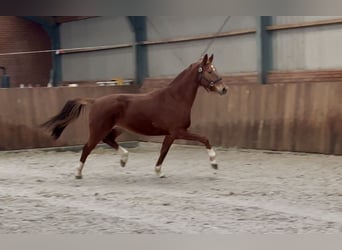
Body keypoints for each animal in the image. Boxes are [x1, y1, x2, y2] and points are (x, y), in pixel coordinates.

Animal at [41, 53, 227, 178]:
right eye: (209, 71)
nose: (224, 89)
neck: (175, 98)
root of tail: (95, 101)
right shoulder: (178, 131)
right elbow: (204, 138)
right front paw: (214, 163)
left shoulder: (170, 134)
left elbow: (163, 152)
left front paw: (158, 172)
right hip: (98, 130)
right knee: (87, 147)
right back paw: (78, 173)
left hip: (118, 128)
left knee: (108, 140)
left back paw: (124, 159)